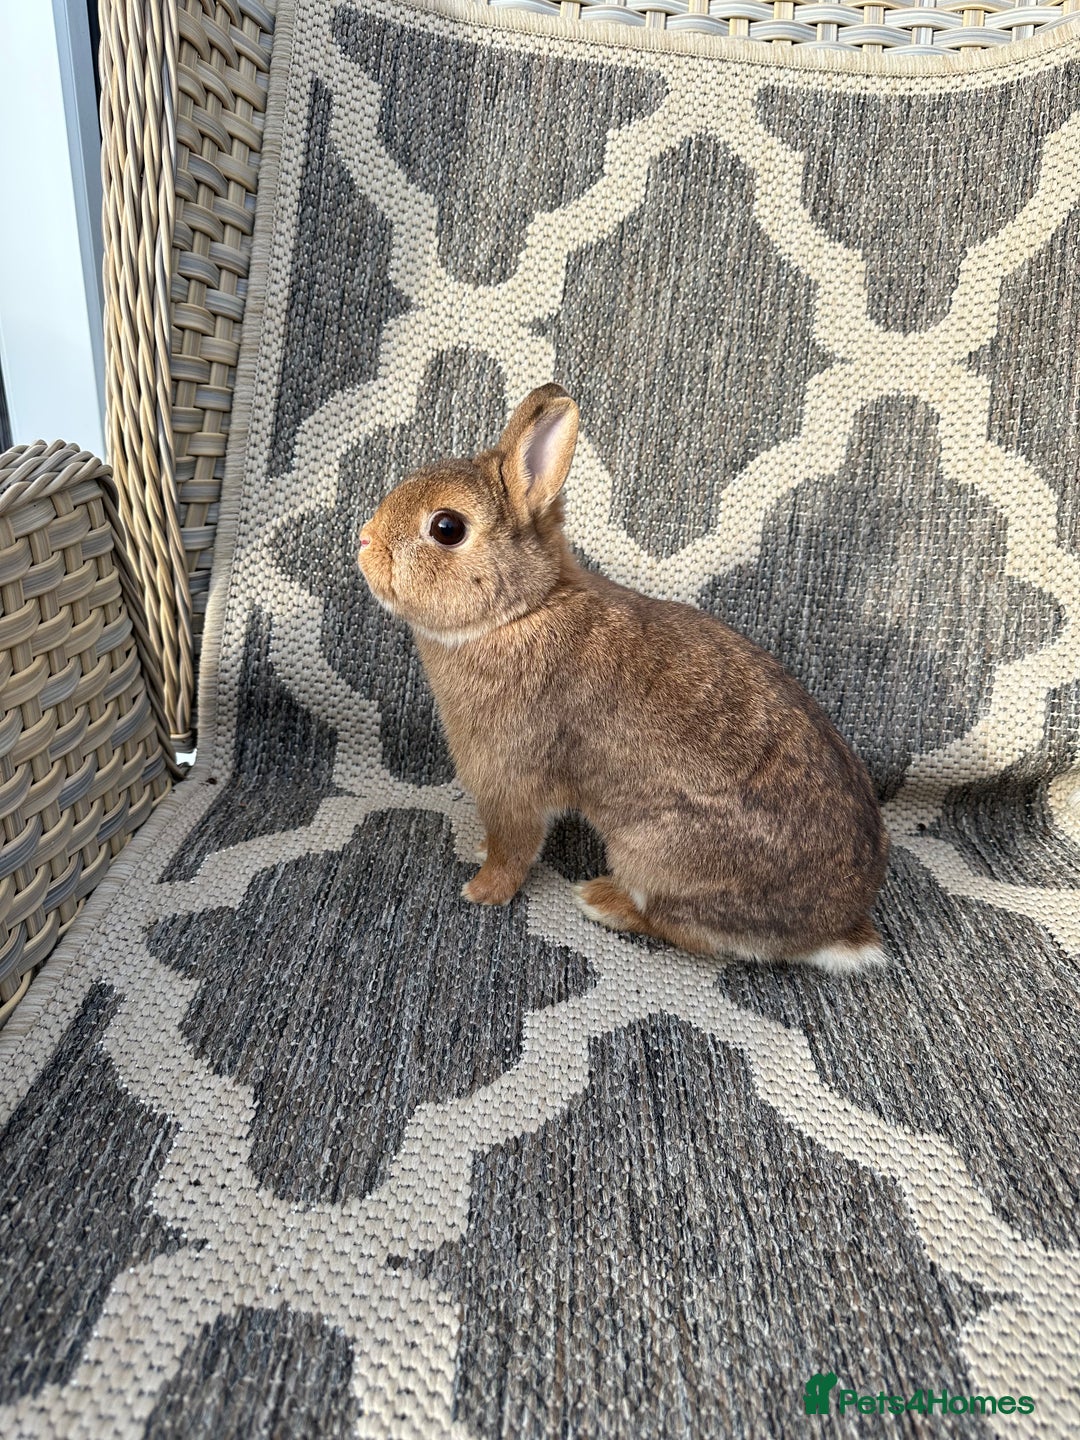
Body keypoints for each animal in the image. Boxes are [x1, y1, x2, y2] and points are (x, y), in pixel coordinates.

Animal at [358, 384, 889, 972]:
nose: (364, 541)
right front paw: (478, 851)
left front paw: (482, 890)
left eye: (446, 528)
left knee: (689, 934)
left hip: (653, 853)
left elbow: (514, 847)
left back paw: (602, 901)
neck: (519, 612)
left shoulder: (511, 780)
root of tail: (835, 930)